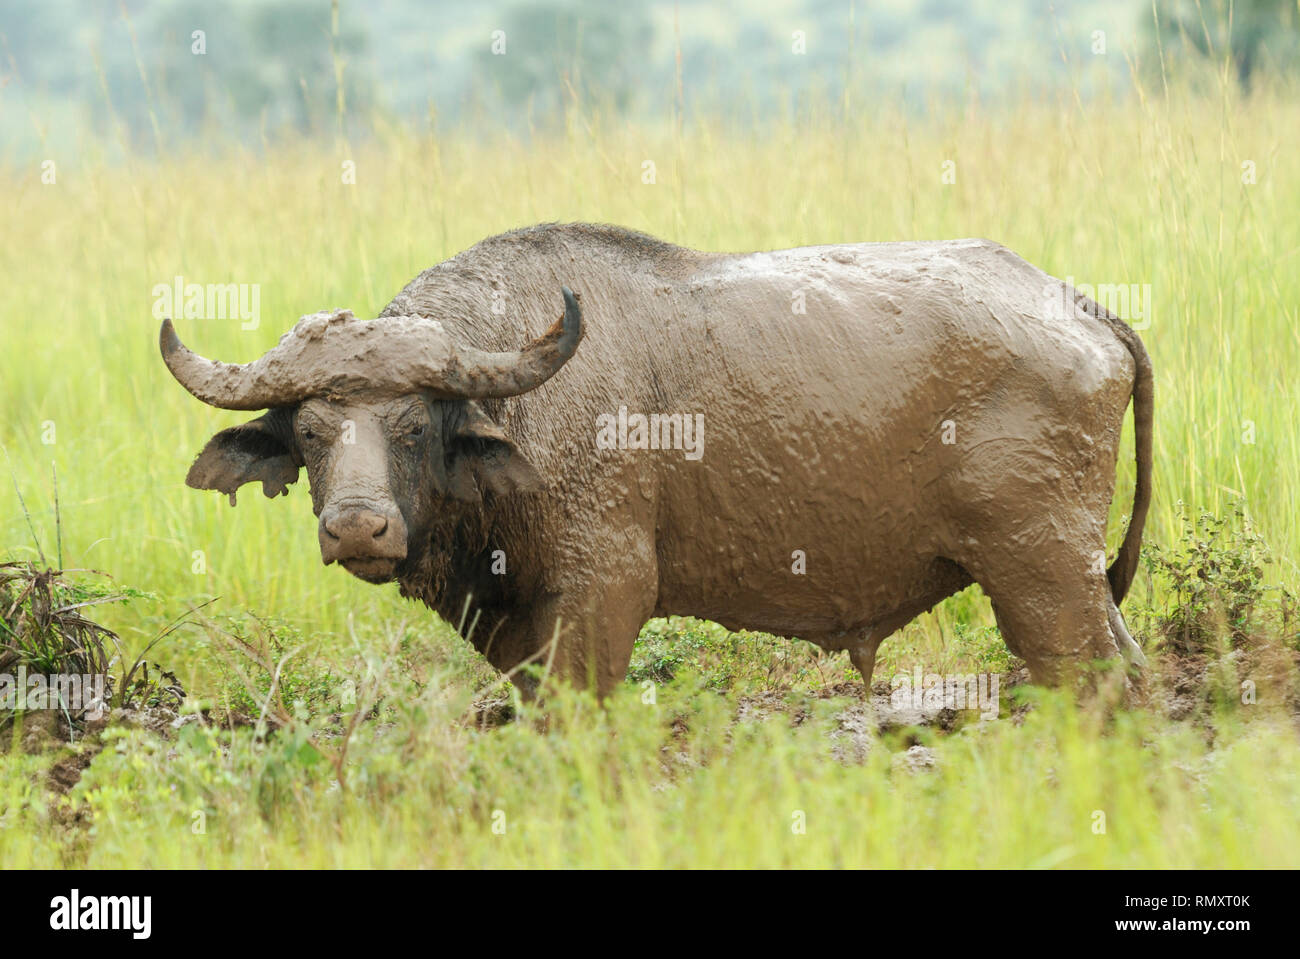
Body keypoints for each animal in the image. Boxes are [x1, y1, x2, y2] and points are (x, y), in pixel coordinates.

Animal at [159, 223, 1149, 696]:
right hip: (1076, 578)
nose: (359, 526)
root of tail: (1080, 307)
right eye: (311, 430)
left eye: (412, 426)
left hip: (1040, 576)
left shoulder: (603, 595)